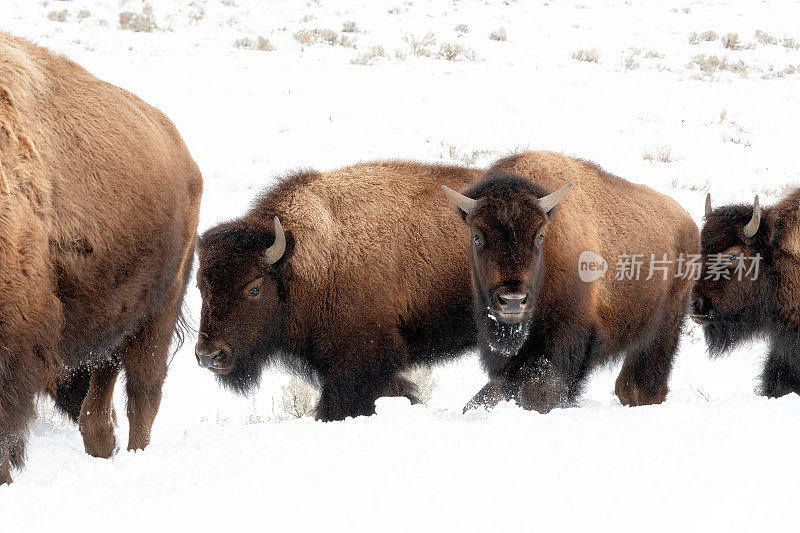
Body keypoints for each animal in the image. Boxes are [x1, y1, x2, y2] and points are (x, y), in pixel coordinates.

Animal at [0, 33, 203, 482]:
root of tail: (184, 155)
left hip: (160, 309)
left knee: (143, 395)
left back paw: (137, 456)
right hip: (110, 318)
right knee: (99, 406)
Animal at [444, 150, 700, 412]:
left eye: (539, 237)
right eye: (477, 237)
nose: (513, 301)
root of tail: (688, 221)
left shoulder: (565, 337)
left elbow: (541, 391)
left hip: (664, 325)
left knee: (643, 378)